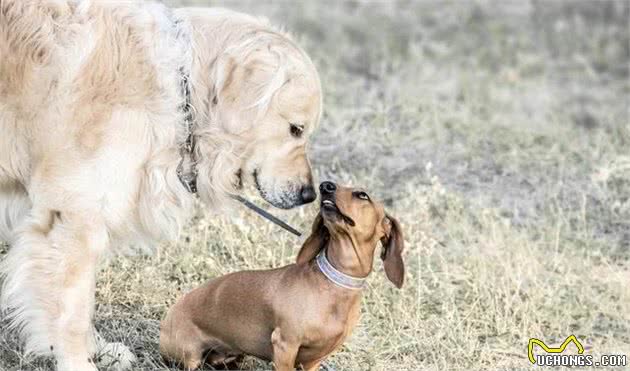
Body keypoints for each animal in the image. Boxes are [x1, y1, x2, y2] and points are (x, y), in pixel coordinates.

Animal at [0, 1, 324, 370]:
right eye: (296, 129)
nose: (309, 194)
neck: (181, 89)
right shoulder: (73, 218)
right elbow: (71, 311)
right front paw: (78, 361)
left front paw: (98, 348)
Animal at [160, 182, 408, 370]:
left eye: (362, 195)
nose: (325, 185)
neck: (335, 285)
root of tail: (169, 316)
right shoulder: (285, 345)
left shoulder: (314, 361)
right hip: (190, 356)